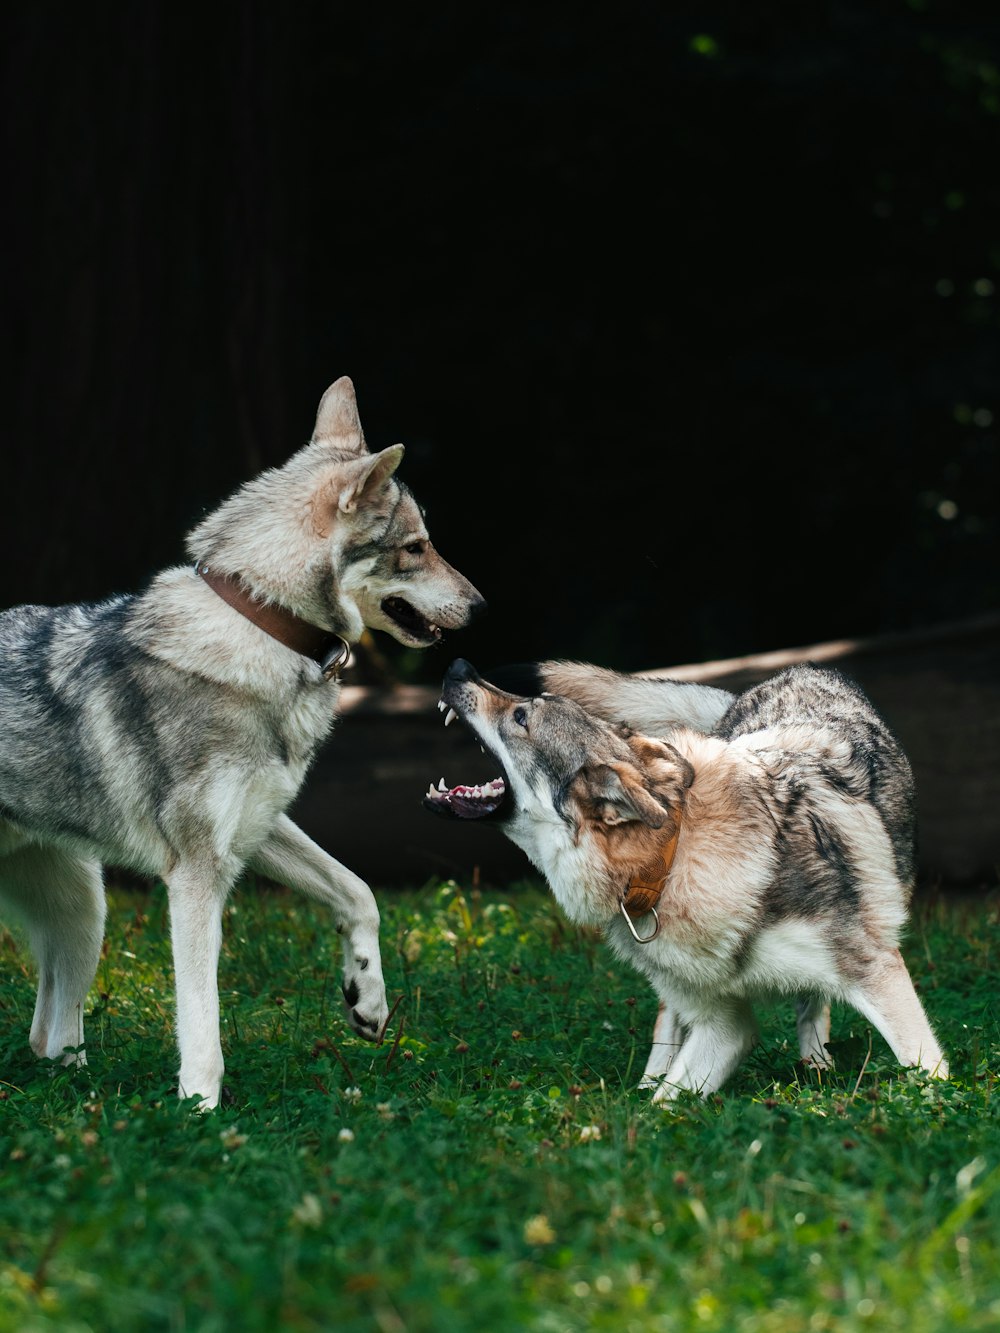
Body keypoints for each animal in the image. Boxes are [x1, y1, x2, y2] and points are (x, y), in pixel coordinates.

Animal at [0, 373, 485, 1103]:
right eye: (416, 547)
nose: (481, 604)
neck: (263, 622)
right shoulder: (197, 874)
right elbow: (203, 1017)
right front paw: (199, 1109)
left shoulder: (261, 827)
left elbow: (360, 893)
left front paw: (366, 998)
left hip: (85, 914)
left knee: (51, 1037)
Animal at [426, 658, 949, 1103]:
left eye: (520, 715)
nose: (458, 666)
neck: (674, 859)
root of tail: (799, 669)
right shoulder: (726, 1025)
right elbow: (658, 1109)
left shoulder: (875, 971)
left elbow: (929, 1074)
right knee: (666, 1028)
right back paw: (647, 1079)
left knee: (811, 1006)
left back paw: (816, 1066)